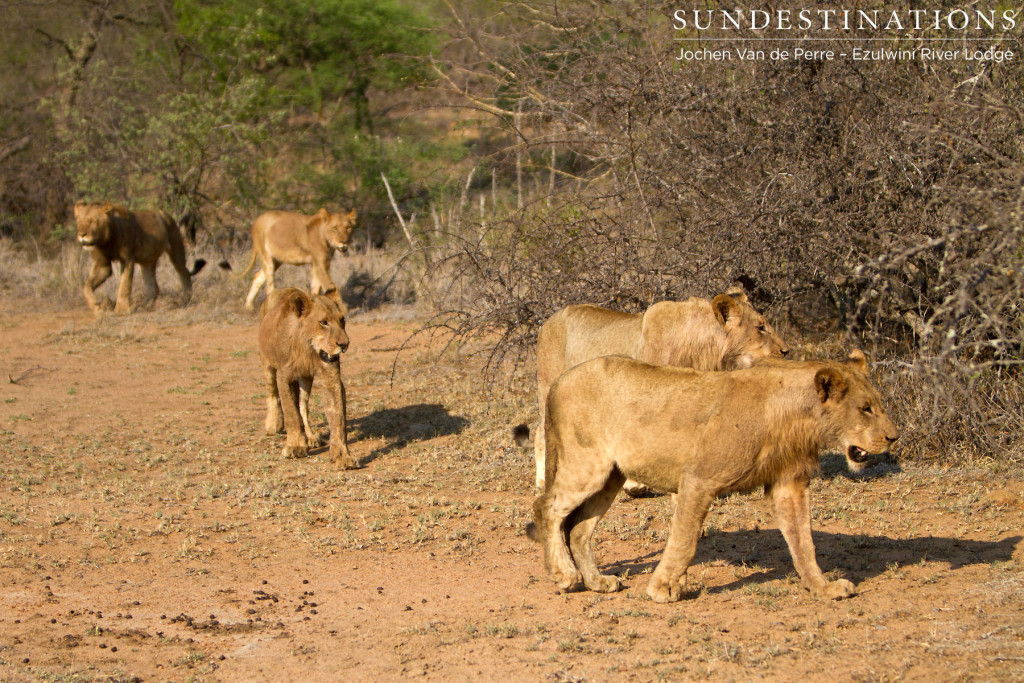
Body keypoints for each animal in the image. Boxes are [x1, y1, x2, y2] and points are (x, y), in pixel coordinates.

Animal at [74, 200, 207, 313]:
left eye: (92, 221)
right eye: (79, 222)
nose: (82, 235)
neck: (106, 240)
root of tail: (165, 214)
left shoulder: (127, 259)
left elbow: (125, 285)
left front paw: (121, 309)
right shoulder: (103, 264)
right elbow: (87, 286)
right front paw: (96, 306)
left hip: (176, 249)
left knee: (184, 273)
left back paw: (185, 300)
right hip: (148, 260)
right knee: (153, 287)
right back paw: (144, 307)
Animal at [258, 284, 358, 471]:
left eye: (342, 320)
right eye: (323, 322)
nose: (344, 344)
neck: (306, 348)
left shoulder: (331, 377)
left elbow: (338, 418)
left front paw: (342, 456)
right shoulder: (285, 376)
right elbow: (291, 413)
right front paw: (295, 446)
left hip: (305, 379)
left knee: (303, 406)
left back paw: (311, 437)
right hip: (267, 365)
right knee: (273, 394)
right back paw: (273, 424)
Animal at [532, 290, 786, 489]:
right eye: (761, 328)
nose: (786, 351)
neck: (703, 346)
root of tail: (548, 320)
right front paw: (634, 485)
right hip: (548, 385)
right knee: (540, 429)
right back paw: (543, 480)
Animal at [532, 352, 901, 602]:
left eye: (878, 405)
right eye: (865, 409)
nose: (894, 437)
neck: (799, 416)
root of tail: (561, 380)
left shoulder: (789, 484)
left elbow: (803, 542)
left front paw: (823, 587)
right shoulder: (698, 479)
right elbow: (684, 540)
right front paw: (663, 588)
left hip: (610, 476)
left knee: (578, 528)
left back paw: (597, 581)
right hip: (587, 465)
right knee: (546, 507)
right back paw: (564, 575)